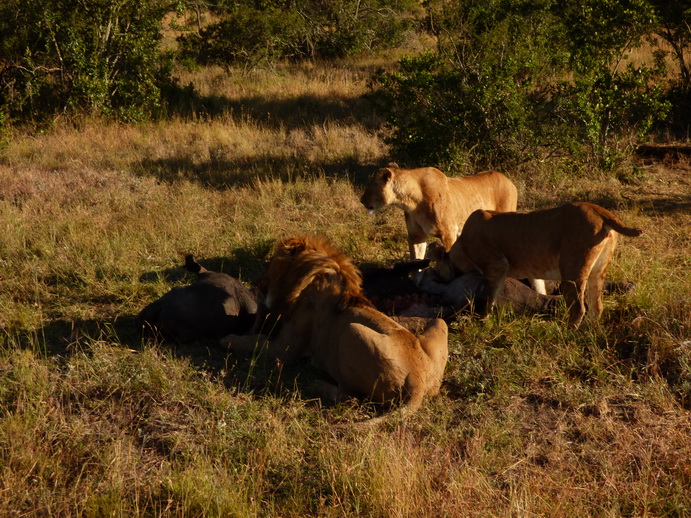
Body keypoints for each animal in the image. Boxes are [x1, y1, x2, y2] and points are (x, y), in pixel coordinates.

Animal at [220, 236, 448, 418]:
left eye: (272, 264)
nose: (259, 282)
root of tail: (417, 381)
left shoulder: (283, 349)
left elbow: (252, 343)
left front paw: (228, 339)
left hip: (351, 331)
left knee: (350, 397)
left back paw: (317, 384)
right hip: (439, 322)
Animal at [362, 165, 520, 260]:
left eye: (370, 187)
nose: (361, 200)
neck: (411, 202)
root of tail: (509, 181)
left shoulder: (448, 233)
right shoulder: (416, 235)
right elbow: (416, 263)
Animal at [440, 201, 648, 328]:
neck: (462, 244)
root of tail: (598, 210)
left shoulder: (497, 265)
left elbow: (492, 295)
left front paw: (484, 319)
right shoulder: (532, 273)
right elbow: (539, 288)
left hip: (572, 271)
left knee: (579, 308)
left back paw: (565, 332)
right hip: (597, 272)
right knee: (597, 307)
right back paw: (590, 330)